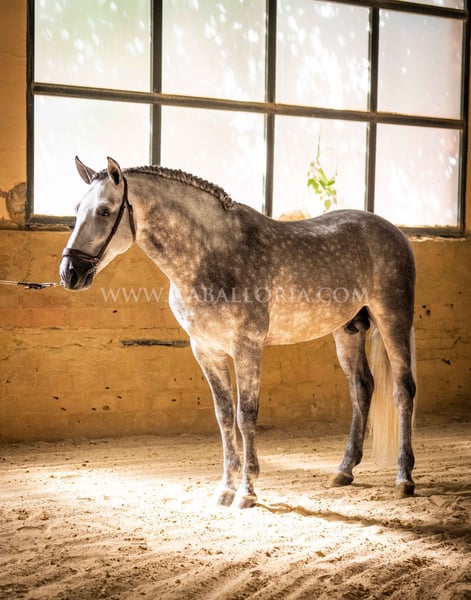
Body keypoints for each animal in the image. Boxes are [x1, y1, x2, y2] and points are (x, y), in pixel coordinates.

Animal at [60, 156, 417, 508]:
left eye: (104, 211)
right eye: (77, 209)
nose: (70, 273)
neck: (211, 256)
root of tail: (393, 231)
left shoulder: (248, 348)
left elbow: (246, 417)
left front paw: (247, 491)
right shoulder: (206, 350)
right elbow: (225, 416)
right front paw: (226, 488)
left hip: (393, 319)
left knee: (403, 390)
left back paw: (404, 478)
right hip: (347, 330)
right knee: (361, 388)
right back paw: (344, 471)